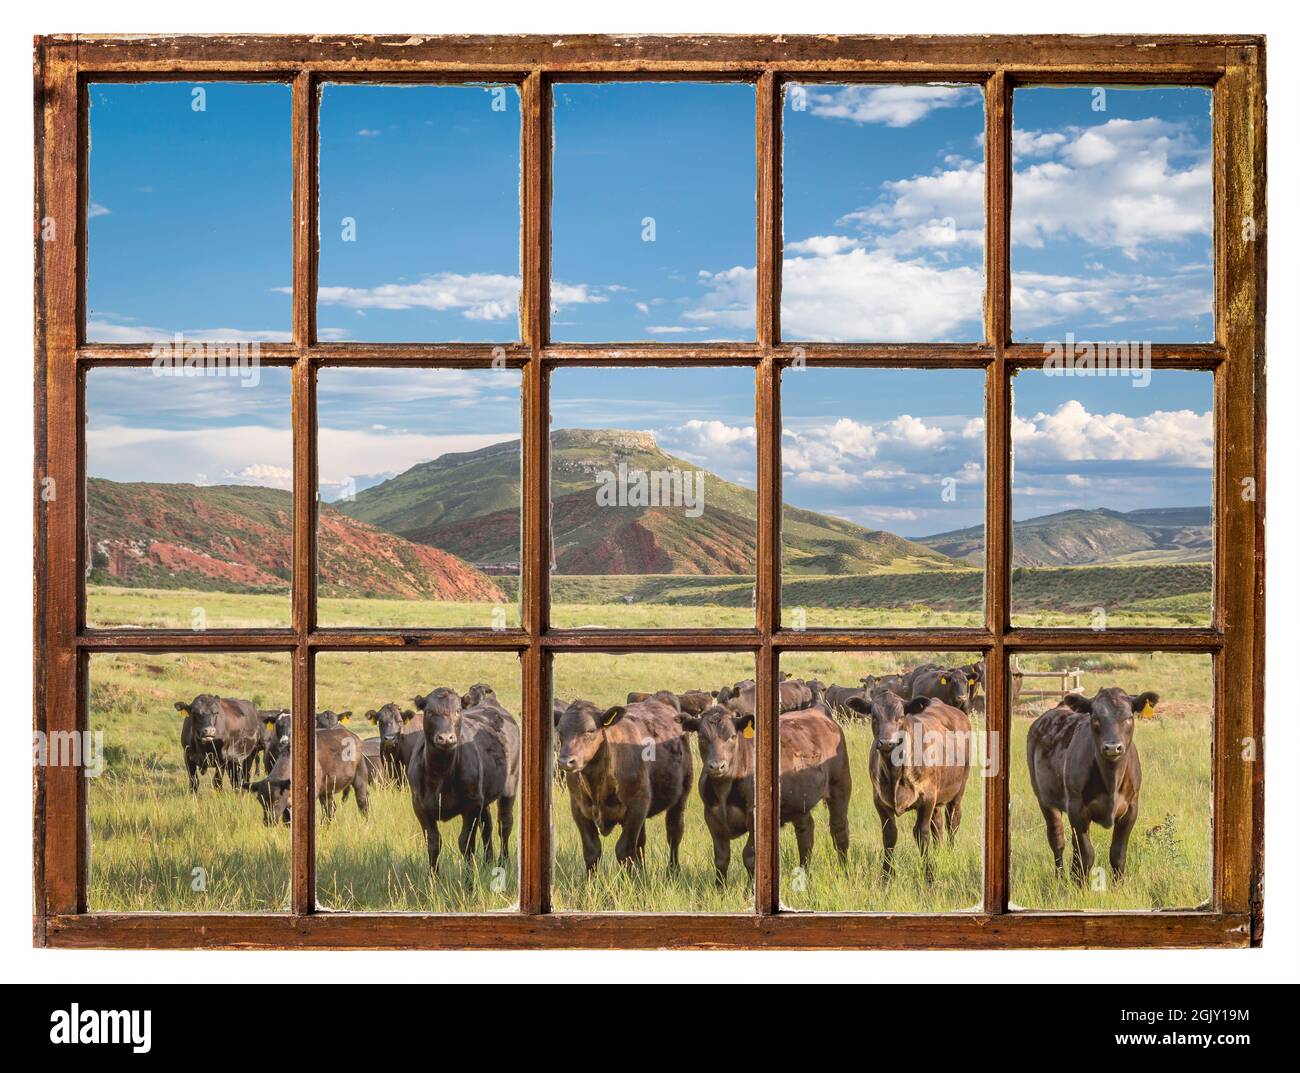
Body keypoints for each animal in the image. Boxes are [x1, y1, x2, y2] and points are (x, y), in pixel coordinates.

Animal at [553, 697, 696, 868]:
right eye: (560, 732)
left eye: (590, 731)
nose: (565, 761)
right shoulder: (578, 807)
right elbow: (592, 851)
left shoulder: (636, 807)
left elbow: (624, 850)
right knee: (641, 842)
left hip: (681, 795)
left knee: (674, 832)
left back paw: (673, 870)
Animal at [847, 697, 972, 879]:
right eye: (874, 716)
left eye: (900, 716)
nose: (887, 742)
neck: (894, 773)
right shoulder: (880, 800)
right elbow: (890, 835)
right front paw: (887, 875)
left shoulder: (927, 799)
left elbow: (922, 833)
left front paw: (929, 874)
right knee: (938, 825)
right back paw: (939, 851)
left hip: (957, 792)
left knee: (952, 822)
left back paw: (949, 852)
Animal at [1019, 691, 1154, 884]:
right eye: (1095, 718)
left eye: (1129, 717)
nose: (1113, 747)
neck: (1111, 780)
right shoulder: (1077, 809)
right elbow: (1087, 854)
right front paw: (1080, 885)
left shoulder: (1131, 808)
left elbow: (1118, 853)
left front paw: (1118, 886)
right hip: (1044, 799)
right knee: (1057, 839)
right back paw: (1060, 877)